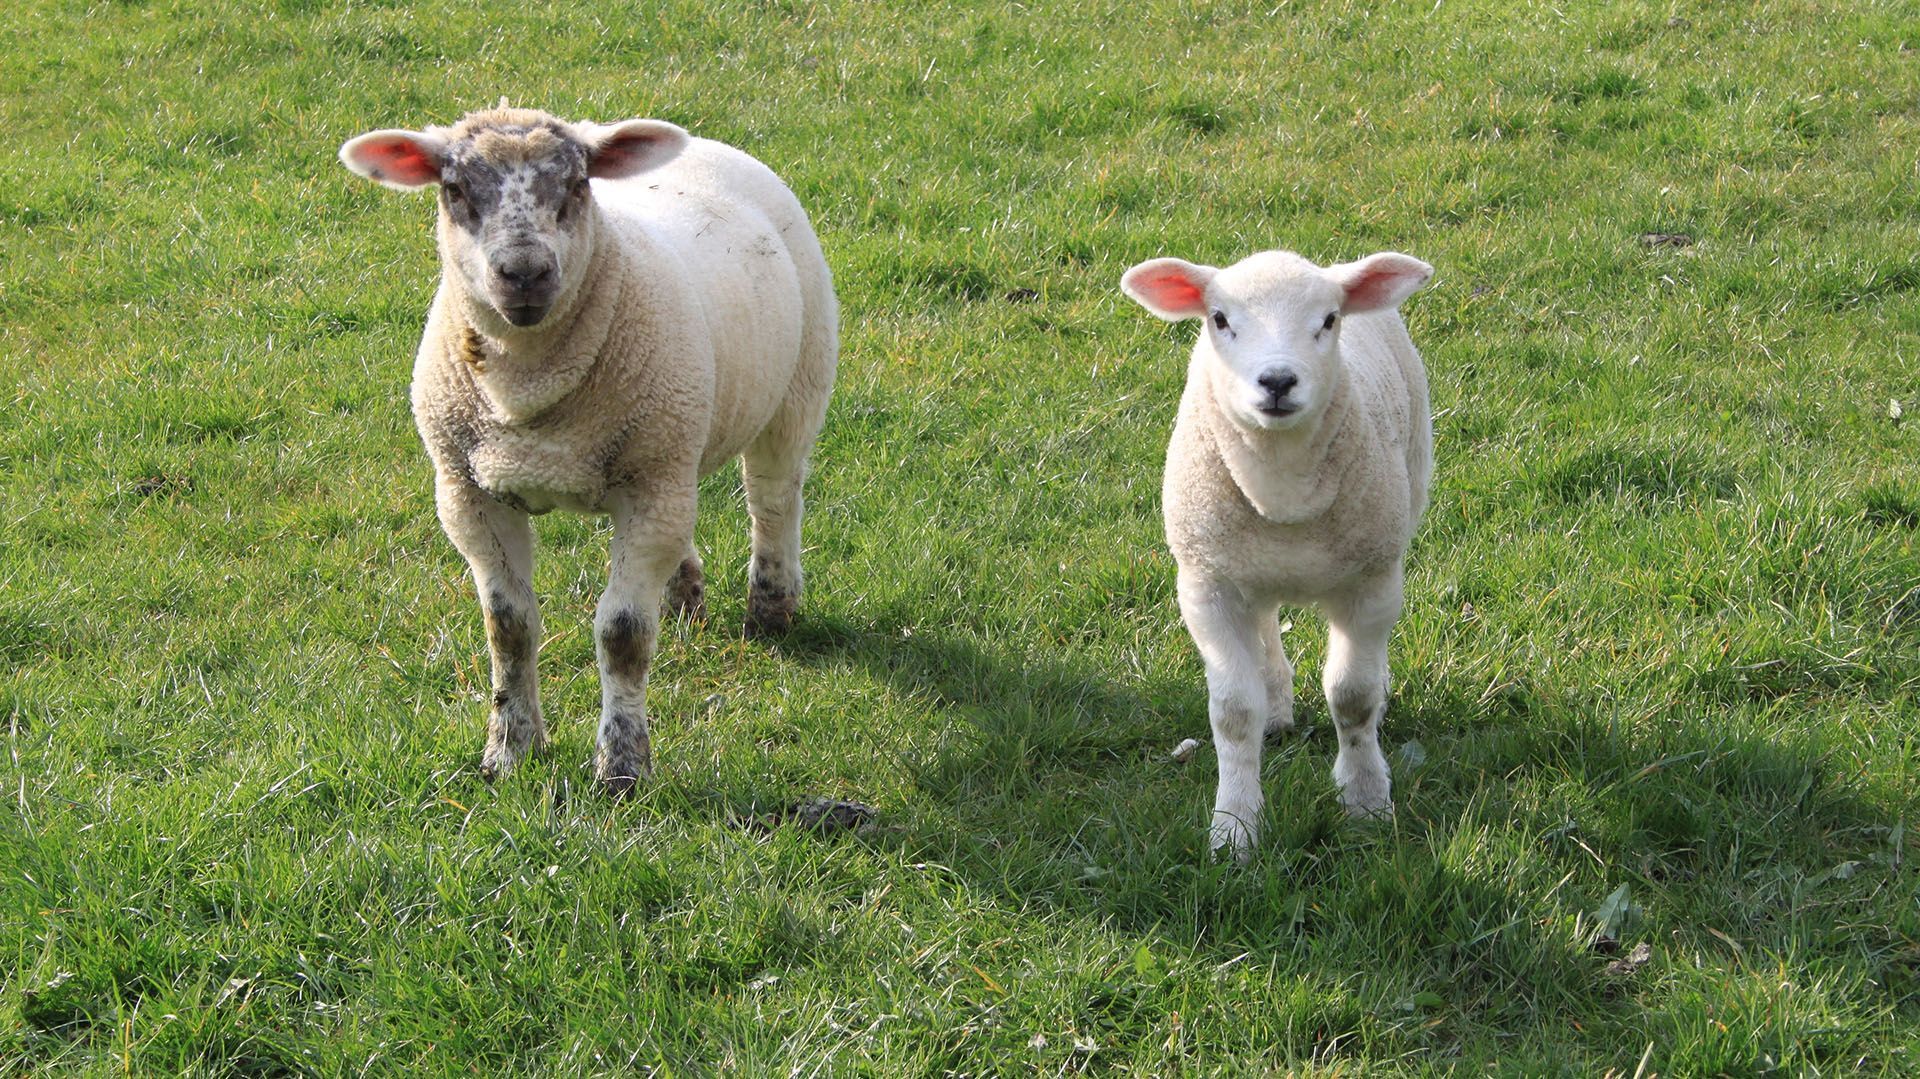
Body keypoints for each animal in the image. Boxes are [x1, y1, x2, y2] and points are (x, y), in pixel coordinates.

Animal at [338, 106, 837, 795]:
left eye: (577, 185)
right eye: (455, 189)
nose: (524, 273)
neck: (527, 392)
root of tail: (704, 144)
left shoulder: (648, 485)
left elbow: (622, 634)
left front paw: (622, 768)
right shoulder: (469, 494)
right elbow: (509, 629)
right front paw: (510, 752)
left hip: (796, 386)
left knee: (773, 500)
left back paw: (771, 605)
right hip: (672, 446)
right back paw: (684, 594)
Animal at [1120, 248, 1434, 858]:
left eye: (1329, 320)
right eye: (1219, 319)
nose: (1277, 381)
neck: (1282, 495)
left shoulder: (1373, 579)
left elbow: (1353, 697)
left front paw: (1366, 803)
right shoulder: (1207, 586)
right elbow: (1233, 713)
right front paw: (1234, 829)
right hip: (1242, 561)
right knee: (1265, 624)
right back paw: (1275, 705)